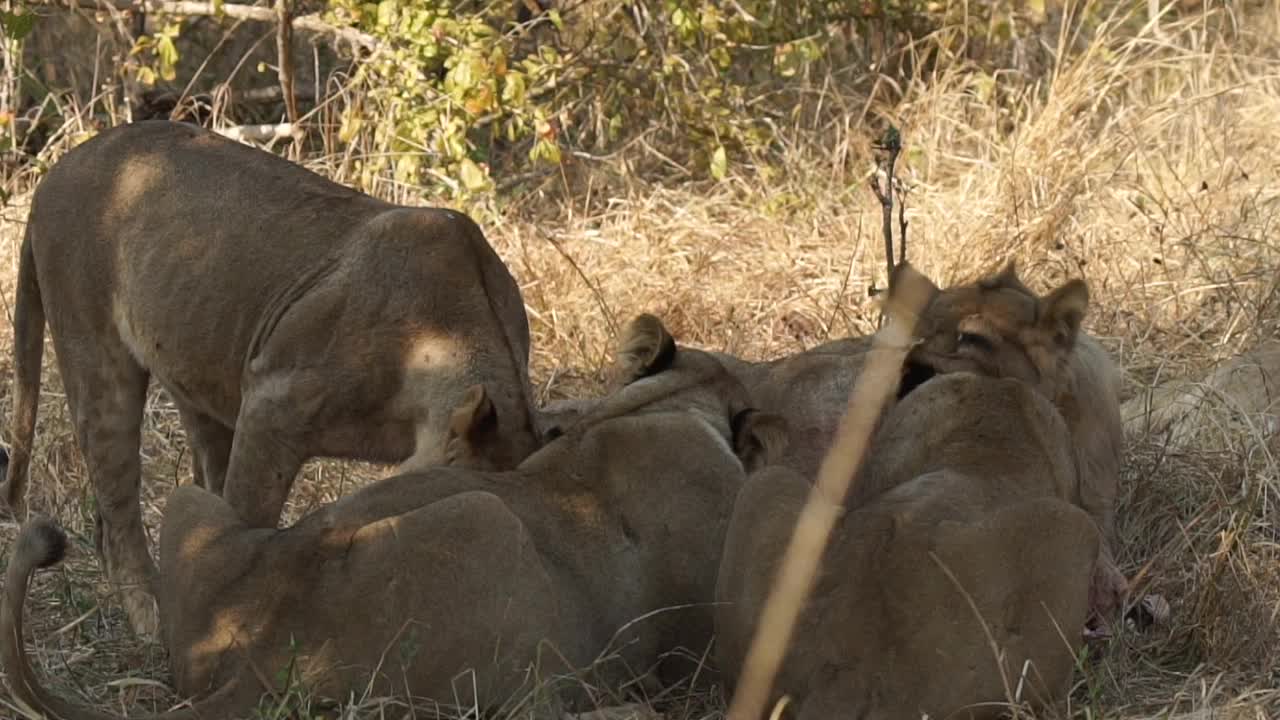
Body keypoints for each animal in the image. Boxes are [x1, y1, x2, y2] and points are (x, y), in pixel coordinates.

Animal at [0, 120, 545, 635]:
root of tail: (57, 170)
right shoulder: (271, 400)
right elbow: (246, 516)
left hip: (197, 371)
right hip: (97, 360)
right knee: (117, 515)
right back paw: (151, 620)